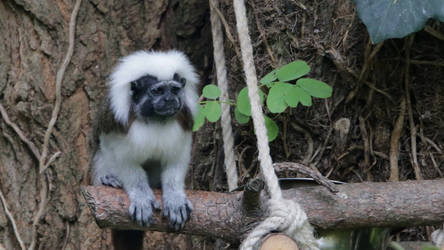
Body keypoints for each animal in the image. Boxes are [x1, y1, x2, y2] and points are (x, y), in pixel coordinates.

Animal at [91, 50, 199, 248]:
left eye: (174, 89)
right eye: (157, 91)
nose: (169, 100)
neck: (155, 119)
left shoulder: (183, 120)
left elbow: (176, 160)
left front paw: (175, 198)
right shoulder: (117, 122)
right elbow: (125, 163)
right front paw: (141, 197)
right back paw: (107, 179)